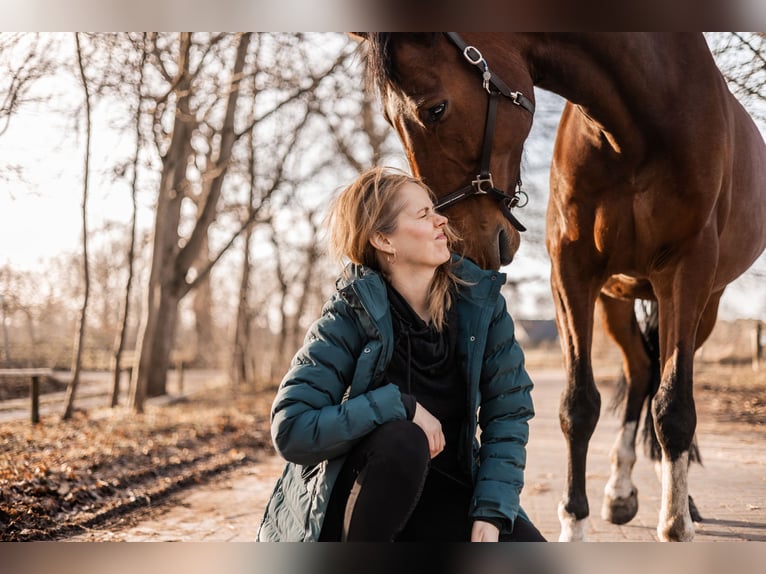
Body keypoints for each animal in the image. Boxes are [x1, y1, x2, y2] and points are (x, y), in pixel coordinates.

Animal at [360, 33, 766, 544]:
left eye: (435, 109)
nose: (461, 244)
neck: (641, 120)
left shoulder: (686, 272)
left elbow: (674, 405)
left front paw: (675, 525)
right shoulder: (573, 274)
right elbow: (579, 404)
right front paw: (575, 521)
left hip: (703, 303)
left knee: (662, 380)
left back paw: (679, 498)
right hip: (616, 299)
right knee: (641, 371)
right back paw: (620, 491)